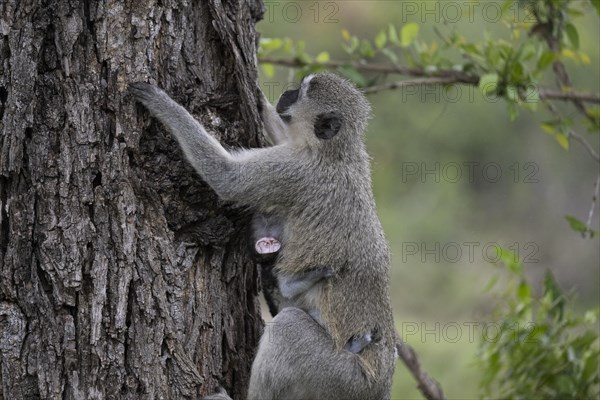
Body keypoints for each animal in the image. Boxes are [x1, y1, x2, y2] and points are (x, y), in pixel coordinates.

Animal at [133, 73, 400, 398]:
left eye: (300, 92)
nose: (286, 94)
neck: (336, 151)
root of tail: (380, 387)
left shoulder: (293, 172)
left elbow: (227, 176)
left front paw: (161, 103)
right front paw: (256, 94)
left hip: (342, 380)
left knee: (288, 328)